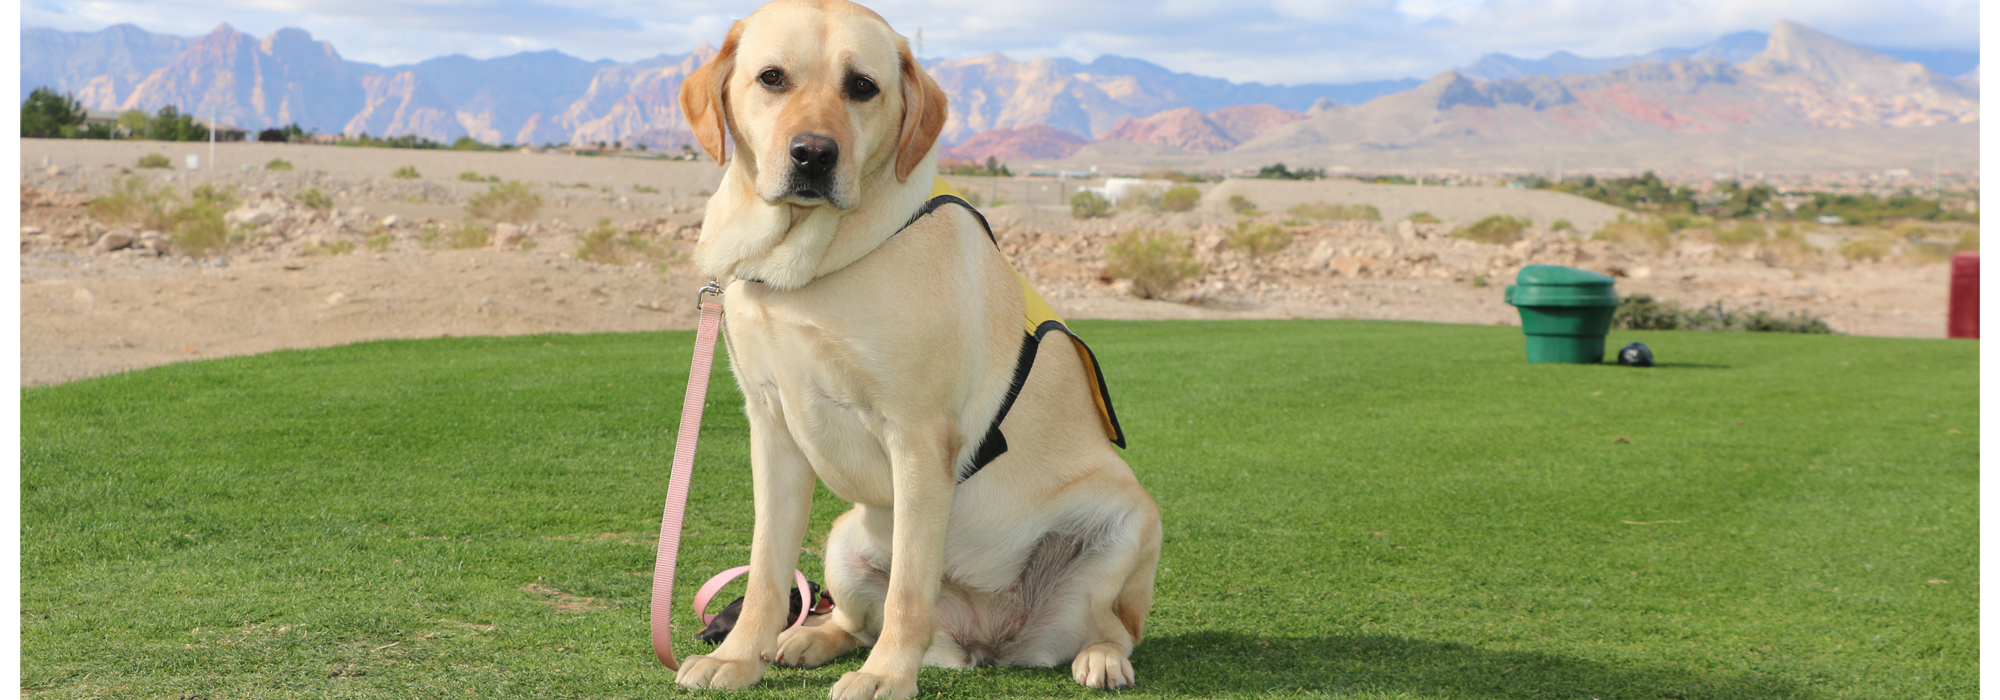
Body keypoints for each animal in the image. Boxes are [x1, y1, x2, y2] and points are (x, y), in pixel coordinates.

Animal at [676, 1, 1168, 700]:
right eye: (772, 78)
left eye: (862, 86)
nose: (813, 155)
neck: (806, 270)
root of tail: (985, 639)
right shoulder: (771, 430)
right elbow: (768, 570)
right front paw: (739, 657)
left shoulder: (917, 438)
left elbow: (911, 588)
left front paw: (886, 677)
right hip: (846, 538)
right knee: (848, 617)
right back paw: (808, 639)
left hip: (1128, 517)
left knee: (1114, 626)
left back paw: (1100, 659)